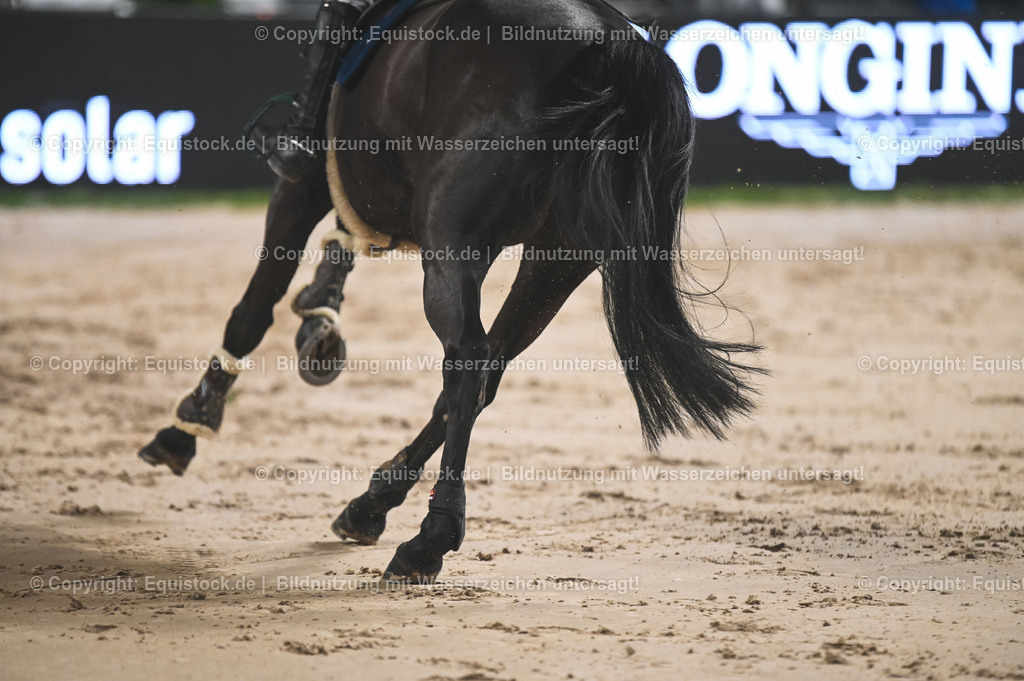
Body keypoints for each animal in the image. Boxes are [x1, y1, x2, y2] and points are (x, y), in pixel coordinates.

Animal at [138, 0, 763, 583]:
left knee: (467, 363)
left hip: (453, 247)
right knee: (486, 373)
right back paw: (371, 504)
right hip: (558, 259)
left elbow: (252, 309)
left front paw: (188, 424)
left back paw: (428, 539)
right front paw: (320, 313)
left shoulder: (305, 181)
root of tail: (609, 45)